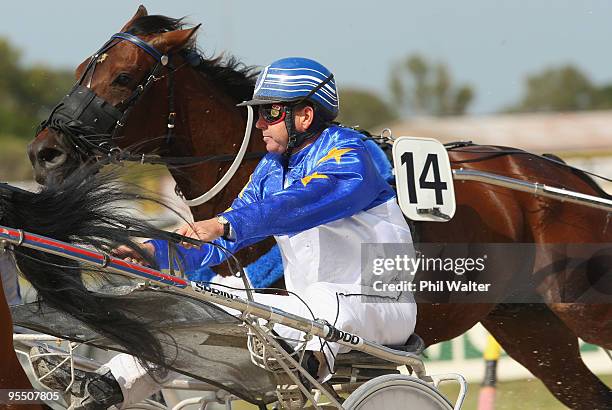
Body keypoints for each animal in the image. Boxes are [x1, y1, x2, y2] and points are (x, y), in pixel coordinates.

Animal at [26, 7, 608, 410]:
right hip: (529, 326)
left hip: (581, 307)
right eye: (81, 69)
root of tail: (571, 177)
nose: (42, 153)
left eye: (123, 78)